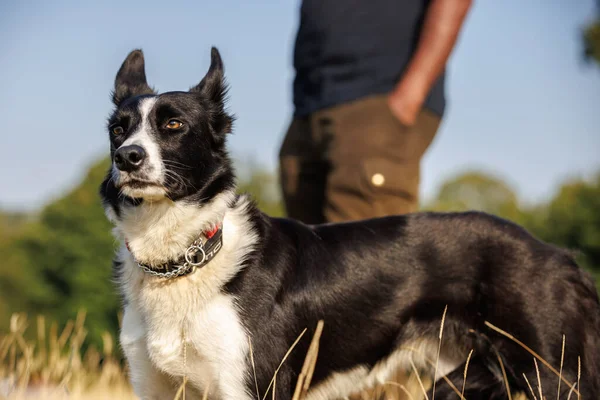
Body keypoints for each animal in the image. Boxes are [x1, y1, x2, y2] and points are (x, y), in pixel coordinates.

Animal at [99, 48, 600, 398]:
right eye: (118, 130)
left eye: (174, 125)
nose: (127, 158)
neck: (183, 259)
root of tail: (560, 256)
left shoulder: (250, 385)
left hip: (555, 375)